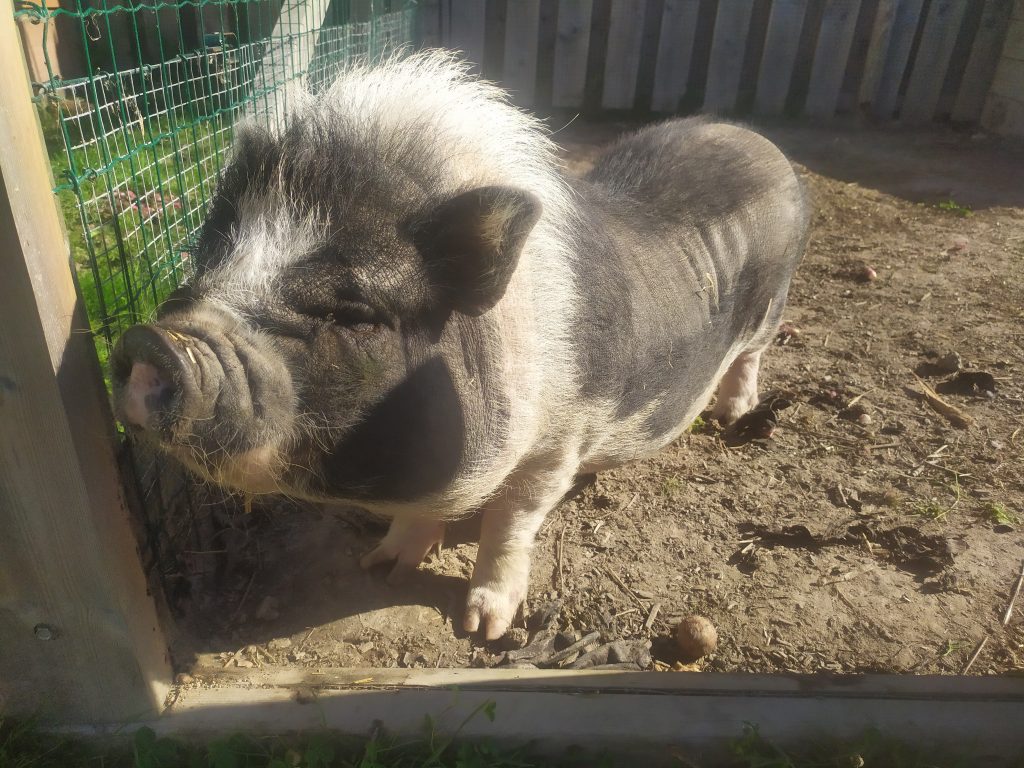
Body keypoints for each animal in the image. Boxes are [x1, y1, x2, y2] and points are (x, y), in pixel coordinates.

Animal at [111, 52, 808, 640]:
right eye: (205, 263)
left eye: (354, 309)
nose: (155, 343)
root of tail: (757, 141)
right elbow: (419, 518)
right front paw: (379, 568)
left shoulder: (558, 445)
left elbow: (509, 523)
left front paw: (482, 629)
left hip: (774, 306)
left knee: (752, 355)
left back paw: (734, 416)